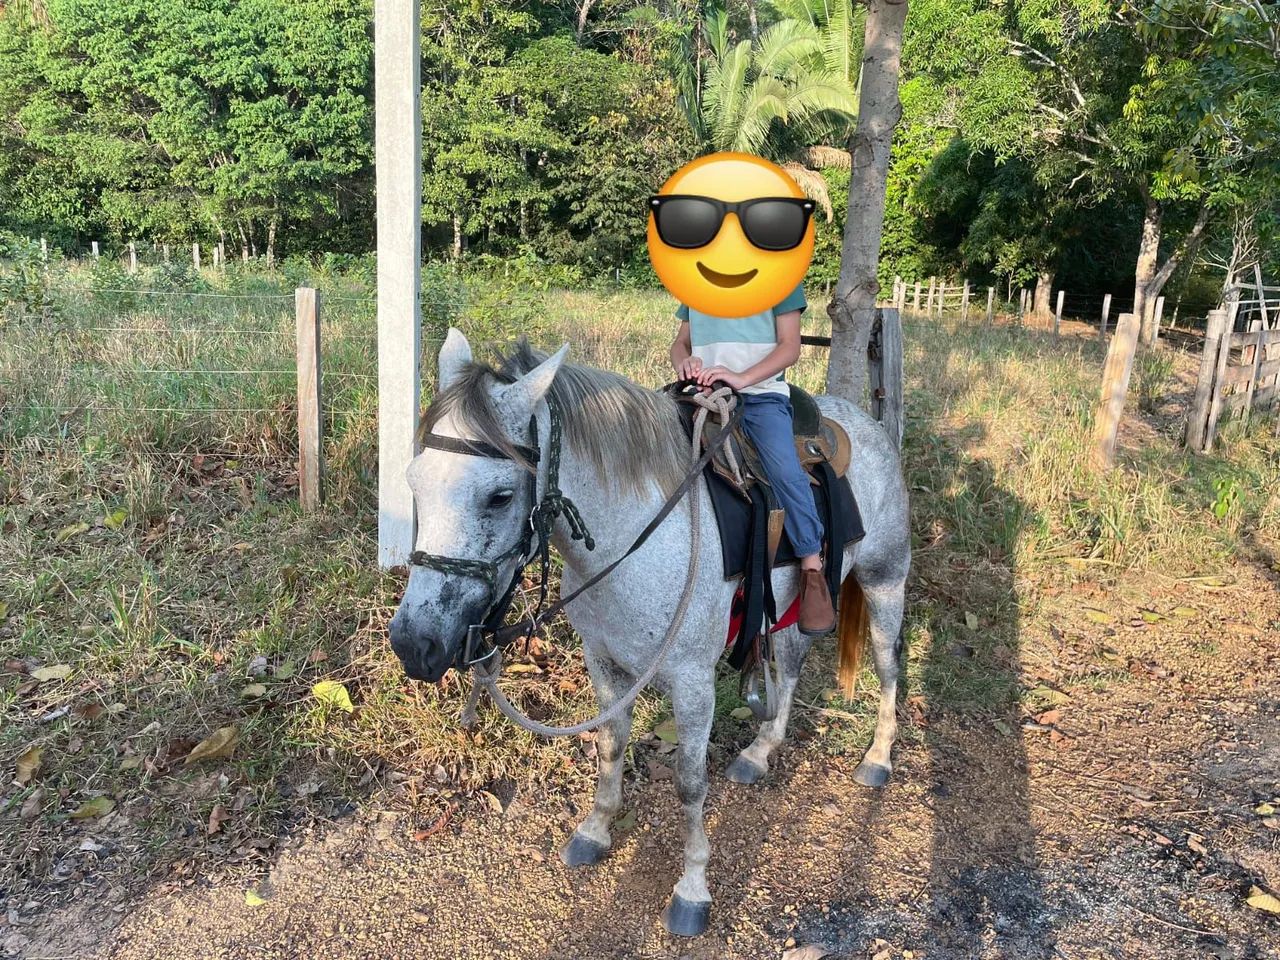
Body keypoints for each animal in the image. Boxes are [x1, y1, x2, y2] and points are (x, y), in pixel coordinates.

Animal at [387, 328, 911, 937]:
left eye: (499, 496)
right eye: (414, 482)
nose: (414, 644)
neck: (635, 537)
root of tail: (866, 421)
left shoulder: (692, 681)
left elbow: (689, 782)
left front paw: (692, 889)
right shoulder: (603, 660)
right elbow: (610, 745)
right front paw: (594, 832)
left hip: (885, 581)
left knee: (888, 666)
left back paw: (877, 758)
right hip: (794, 608)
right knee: (793, 664)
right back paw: (760, 752)